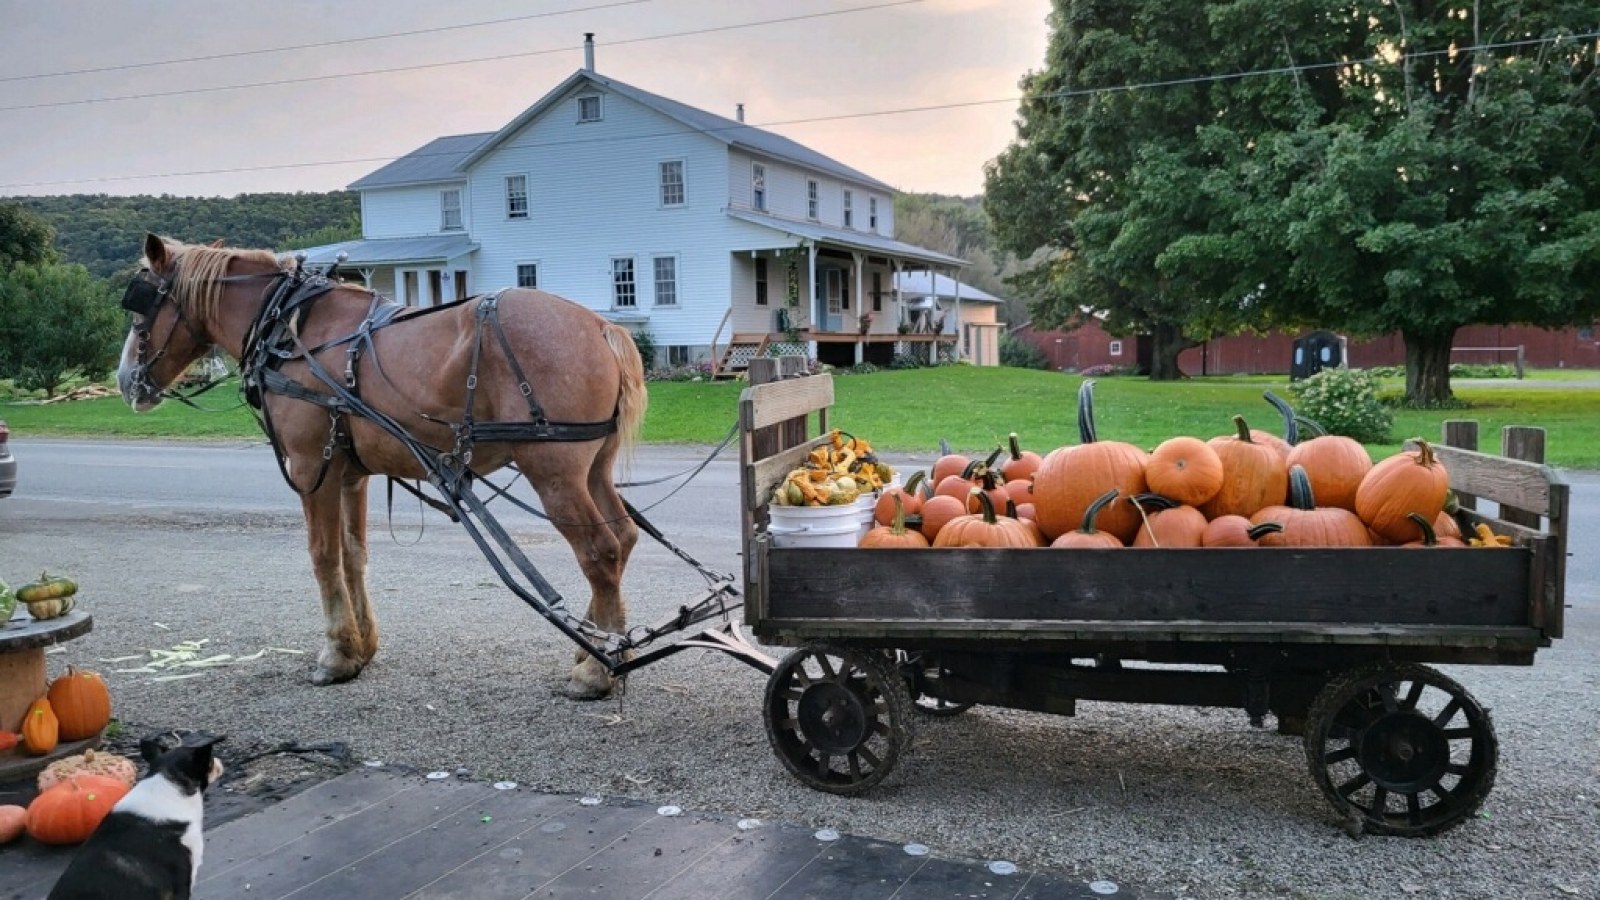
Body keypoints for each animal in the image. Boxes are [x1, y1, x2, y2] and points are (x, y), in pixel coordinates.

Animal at [116, 232, 646, 695]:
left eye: (141, 306)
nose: (124, 380)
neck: (289, 328)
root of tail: (602, 326)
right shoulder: (350, 473)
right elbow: (354, 554)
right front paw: (361, 647)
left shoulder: (311, 467)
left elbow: (323, 555)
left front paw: (335, 654)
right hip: (593, 469)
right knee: (623, 539)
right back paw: (600, 648)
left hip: (553, 472)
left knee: (600, 552)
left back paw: (598, 670)